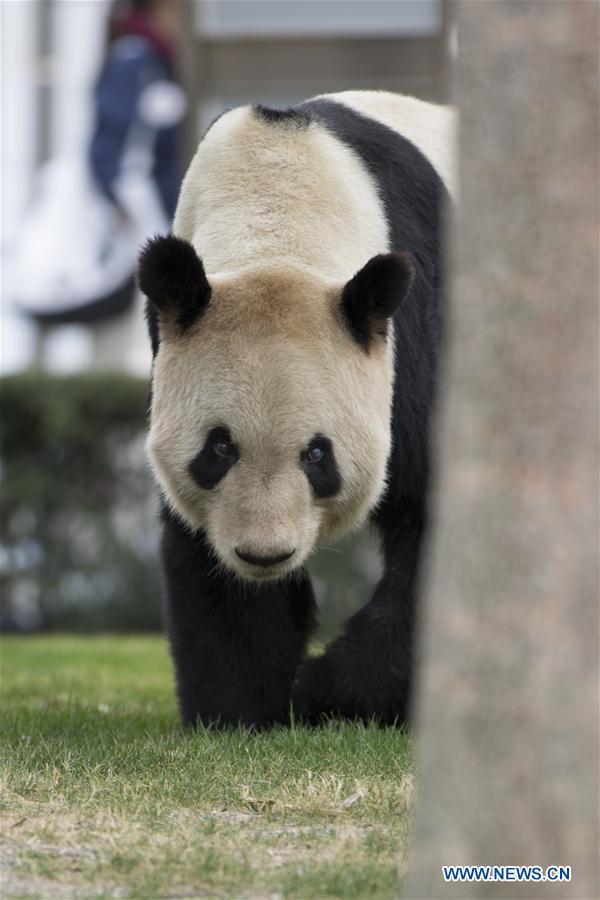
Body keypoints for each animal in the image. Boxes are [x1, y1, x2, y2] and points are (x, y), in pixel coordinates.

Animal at [137, 88, 454, 728]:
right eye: (219, 448)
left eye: (317, 455)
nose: (266, 553)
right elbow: (206, 560)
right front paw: (239, 709)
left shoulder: (413, 337)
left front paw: (324, 693)